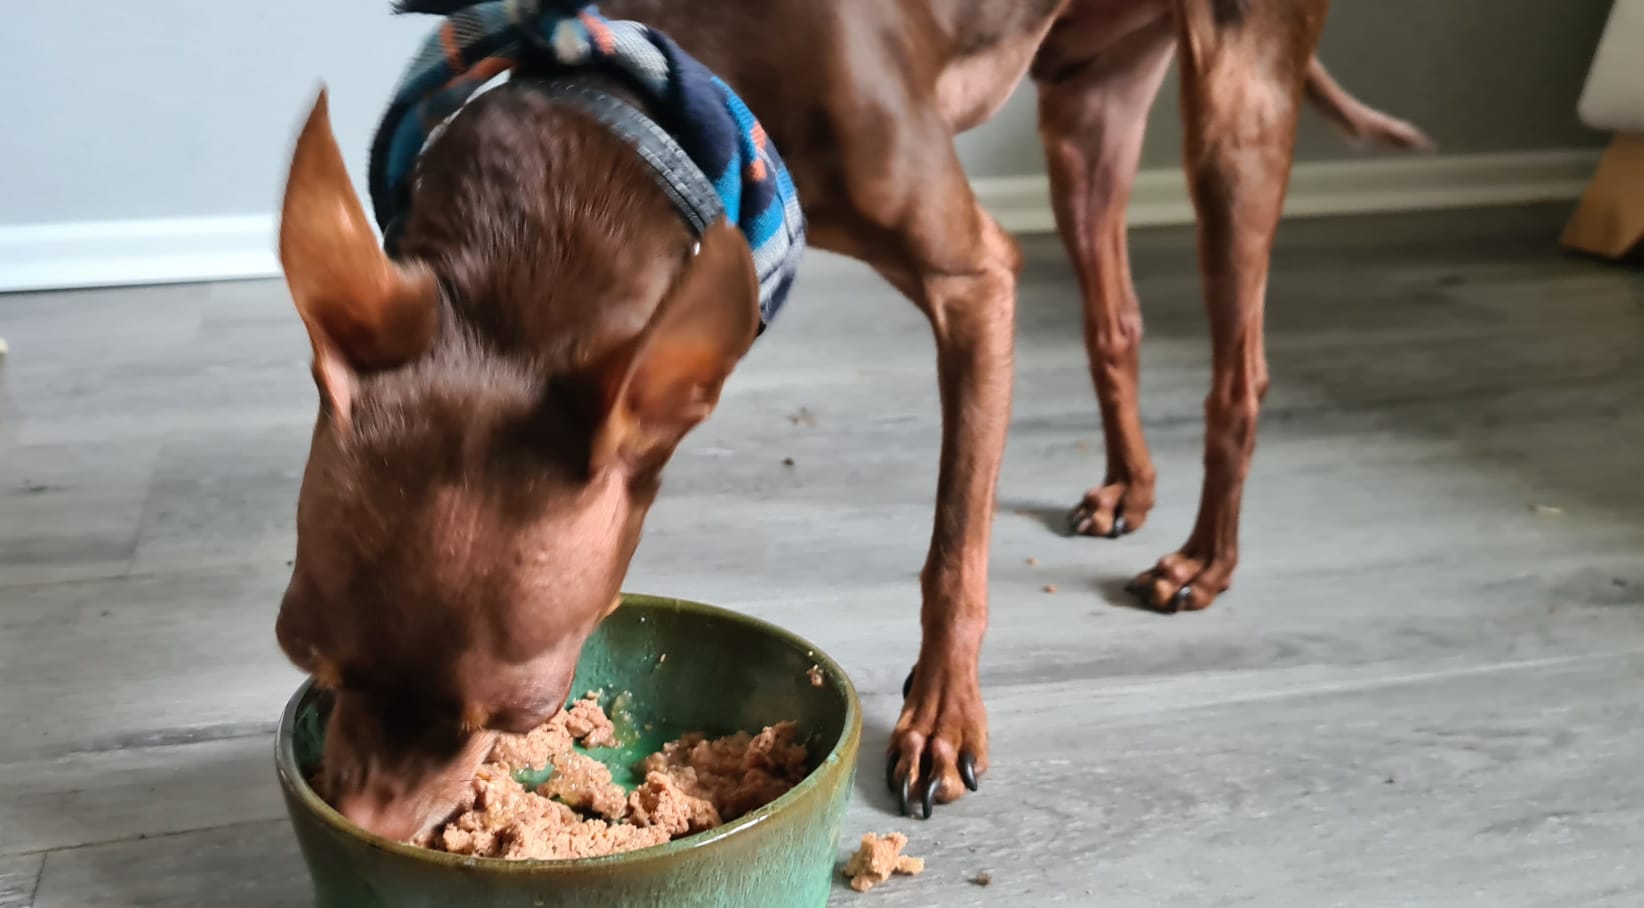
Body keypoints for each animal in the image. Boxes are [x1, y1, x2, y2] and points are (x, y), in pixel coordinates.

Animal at [272, 0, 1426, 835]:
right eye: (302, 654)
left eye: (524, 712)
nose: (362, 830)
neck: (650, 99)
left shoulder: (977, 282)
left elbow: (956, 544)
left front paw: (940, 715)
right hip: (1085, 116)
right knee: (1119, 321)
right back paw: (1129, 488)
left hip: (1238, 103)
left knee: (1242, 373)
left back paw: (1206, 556)